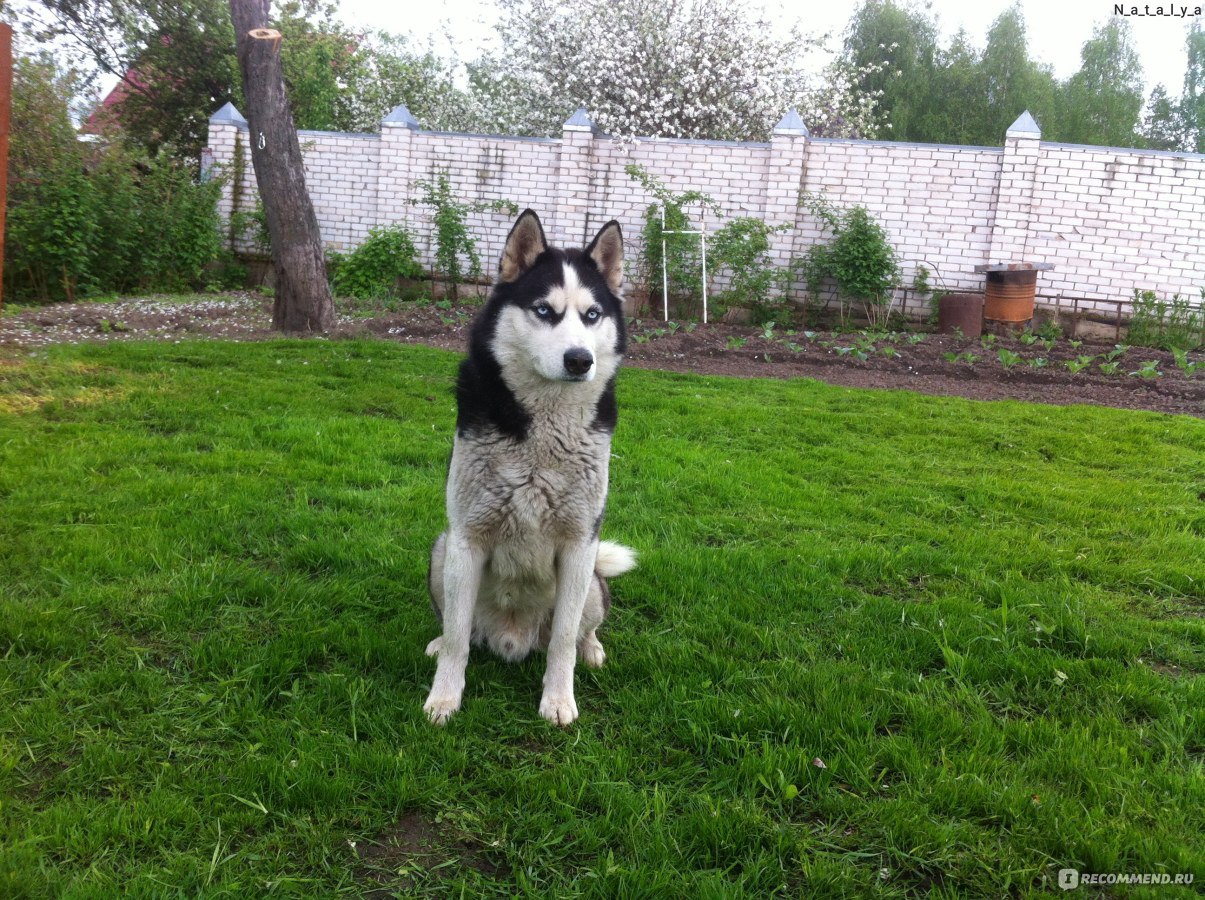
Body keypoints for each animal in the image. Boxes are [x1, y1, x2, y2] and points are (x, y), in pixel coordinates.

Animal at [424, 209, 636, 722]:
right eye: (544, 311)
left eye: (592, 315)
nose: (580, 360)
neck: (543, 432)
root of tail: (512, 639)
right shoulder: (467, 538)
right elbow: (458, 637)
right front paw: (444, 697)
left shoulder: (580, 544)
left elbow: (562, 638)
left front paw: (558, 700)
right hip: (442, 551)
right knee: (459, 627)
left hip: (592, 581)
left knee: (582, 627)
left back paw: (591, 649)